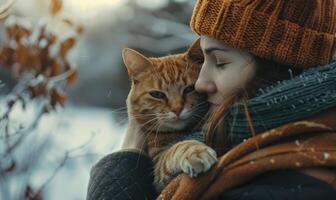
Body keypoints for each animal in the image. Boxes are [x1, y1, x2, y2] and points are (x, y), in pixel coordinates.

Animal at [122, 39, 217, 191]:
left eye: (190, 88)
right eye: (157, 94)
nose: (177, 109)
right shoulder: (158, 163)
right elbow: (176, 148)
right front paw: (194, 151)